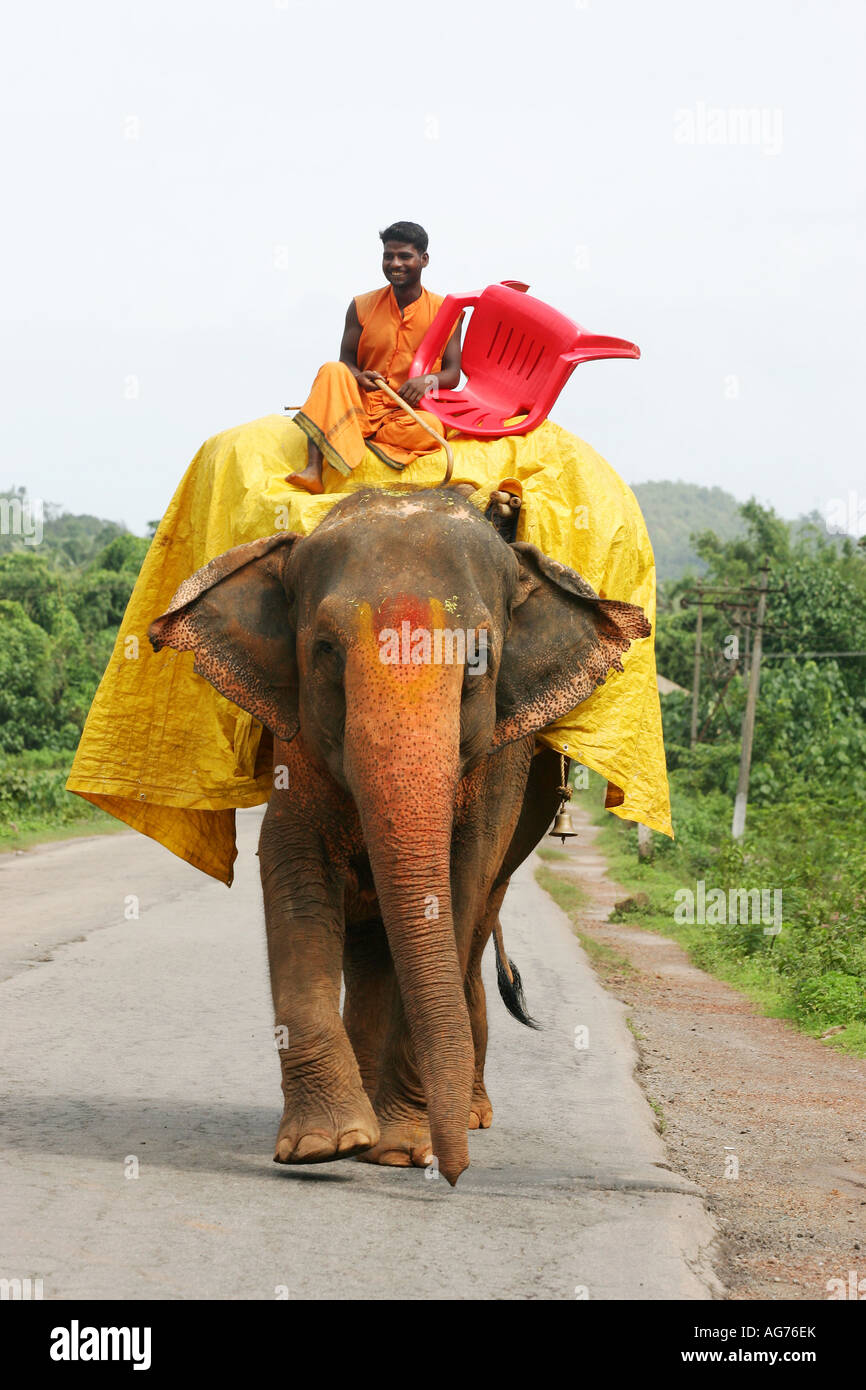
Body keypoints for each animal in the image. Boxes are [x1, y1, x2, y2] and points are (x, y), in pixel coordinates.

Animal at [150, 486, 650, 1184]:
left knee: (472, 926)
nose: (456, 1174)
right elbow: (291, 862)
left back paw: (465, 1114)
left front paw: (401, 1149)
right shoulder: (298, 740)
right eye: (326, 649)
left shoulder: (500, 763)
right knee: (373, 944)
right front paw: (325, 1145)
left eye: (478, 657)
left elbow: (461, 879)